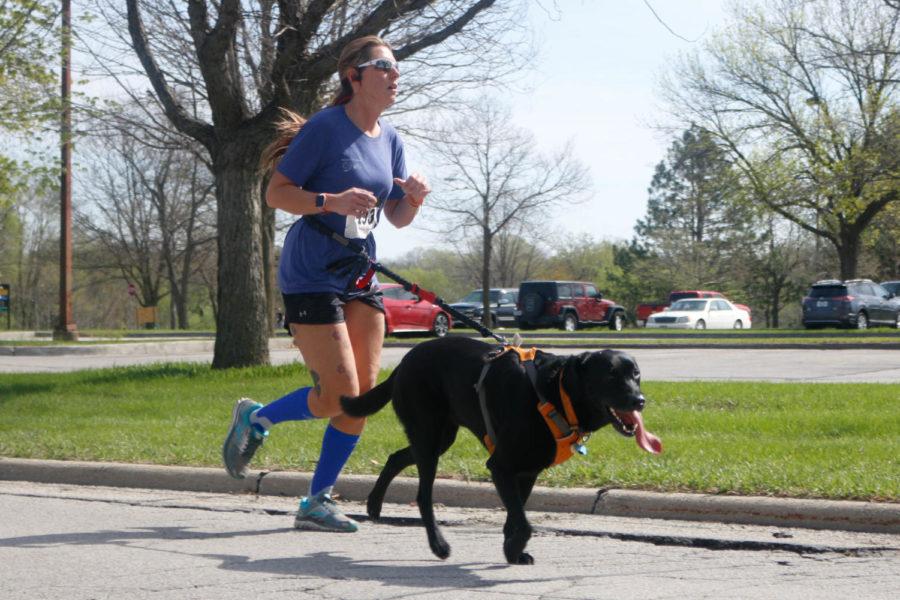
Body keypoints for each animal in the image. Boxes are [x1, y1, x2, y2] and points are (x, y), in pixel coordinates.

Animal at [342, 338, 656, 564]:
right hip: (428, 434)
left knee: (396, 457)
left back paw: (374, 504)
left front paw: (511, 551)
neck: (557, 392)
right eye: (611, 376)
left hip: (440, 437)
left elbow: (515, 518)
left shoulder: (527, 471)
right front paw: (515, 548)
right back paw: (438, 545)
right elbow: (525, 524)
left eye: (636, 375)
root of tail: (405, 360)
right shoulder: (501, 466)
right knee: (423, 496)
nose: (639, 400)